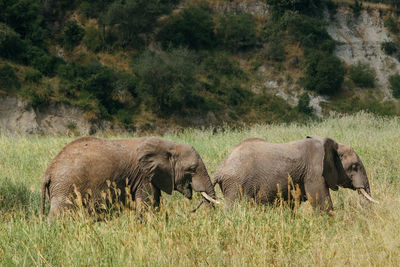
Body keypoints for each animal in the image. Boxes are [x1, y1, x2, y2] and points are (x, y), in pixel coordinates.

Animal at [41, 137, 219, 221]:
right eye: (192, 169)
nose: (192, 212)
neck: (168, 145)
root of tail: (48, 172)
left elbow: (155, 205)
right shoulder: (144, 177)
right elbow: (147, 207)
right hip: (65, 188)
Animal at [212, 137, 378, 213]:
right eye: (354, 166)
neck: (335, 145)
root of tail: (221, 168)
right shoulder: (314, 172)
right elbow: (321, 203)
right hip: (236, 184)